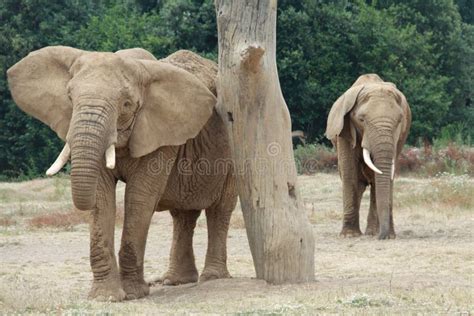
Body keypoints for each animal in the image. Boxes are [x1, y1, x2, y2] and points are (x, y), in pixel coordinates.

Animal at [7, 47, 237, 302]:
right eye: (69, 98)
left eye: (126, 104)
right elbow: (102, 195)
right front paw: (105, 297)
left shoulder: (160, 135)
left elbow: (139, 197)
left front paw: (135, 294)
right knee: (183, 215)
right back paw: (174, 280)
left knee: (220, 210)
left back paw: (212, 277)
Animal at [326, 73, 412, 239]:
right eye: (362, 120)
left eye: (399, 120)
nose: (382, 237)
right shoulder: (345, 130)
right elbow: (350, 173)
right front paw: (349, 235)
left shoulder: (399, 138)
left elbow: (384, 176)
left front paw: (386, 235)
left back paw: (372, 232)